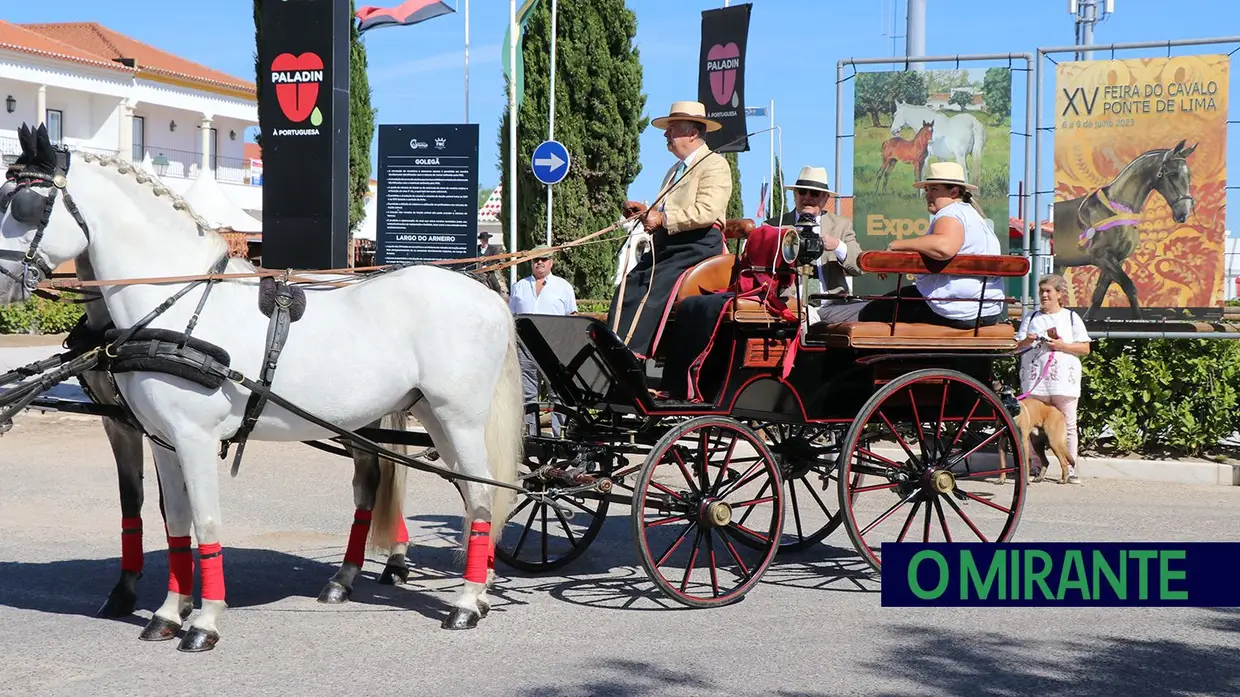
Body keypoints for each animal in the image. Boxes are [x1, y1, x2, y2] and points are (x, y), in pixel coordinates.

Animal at [0, 122, 523, 649]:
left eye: (24, 205)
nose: (2, 281)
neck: (178, 308)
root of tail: (485, 294)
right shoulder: (162, 440)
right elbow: (176, 523)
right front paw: (168, 612)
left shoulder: (194, 437)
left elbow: (206, 520)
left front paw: (204, 621)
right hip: (431, 419)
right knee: (467, 491)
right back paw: (467, 590)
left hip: (458, 419)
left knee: (480, 497)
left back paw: (464, 603)